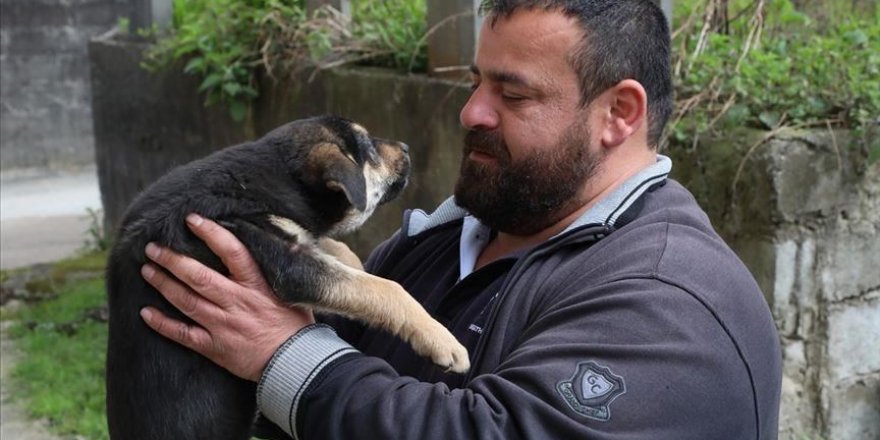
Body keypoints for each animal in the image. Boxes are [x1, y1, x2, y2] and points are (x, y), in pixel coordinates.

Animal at [106, 115, 470, 438]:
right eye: (368, 148)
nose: (406, 147)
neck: (269, 178)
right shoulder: (284, 261)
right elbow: (384, 288)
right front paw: (443, 341)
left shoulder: (298, 239)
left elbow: (338, 251)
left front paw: (359, 263)